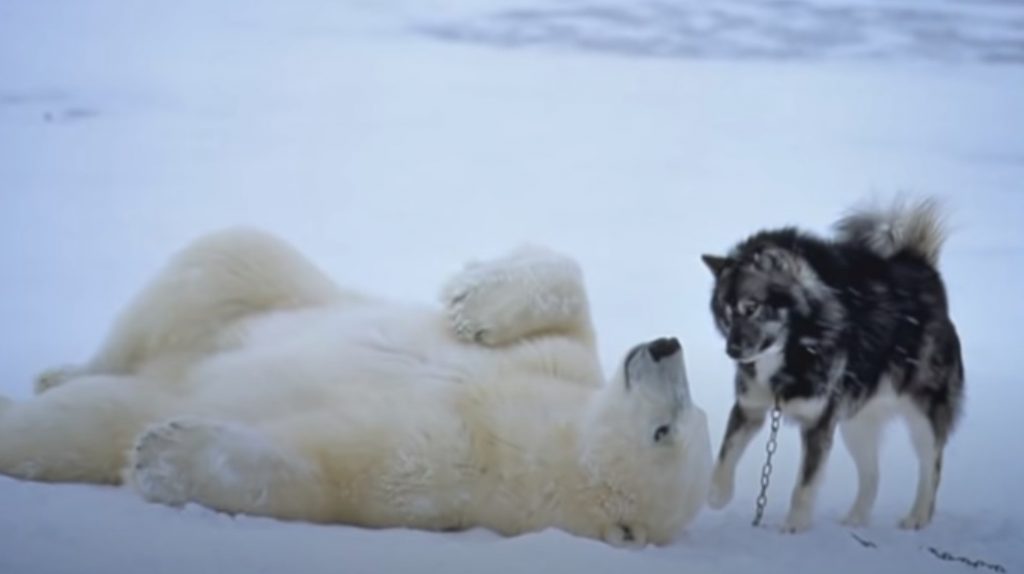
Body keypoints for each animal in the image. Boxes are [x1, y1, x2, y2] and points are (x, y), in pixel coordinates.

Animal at [0, 228, 712, 544]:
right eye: (691, 415)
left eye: (667, 429)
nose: (666, 346)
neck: (546, 433)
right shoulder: (561, 366)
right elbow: (566, 289)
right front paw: (472, 304)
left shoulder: (451, 470)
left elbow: (327, 472)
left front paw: (164, 452)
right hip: (254, 295)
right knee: (222, 260)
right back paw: (60, 369)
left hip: (123, 405)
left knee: (70, 428)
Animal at [700, 199, 962, 532]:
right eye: (726, 313)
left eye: (752, 307)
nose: (732, 350)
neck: (792, 349)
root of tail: (922, 268)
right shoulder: (750, 408)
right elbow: (725, 455)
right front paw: (716, 495)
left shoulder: (818, 423)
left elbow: (804, 486)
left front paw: (794, 528)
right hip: (856, 423)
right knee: (872, 474)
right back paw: (855, 520)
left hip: (922, 415)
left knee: (932, 467)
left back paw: (917, 517)